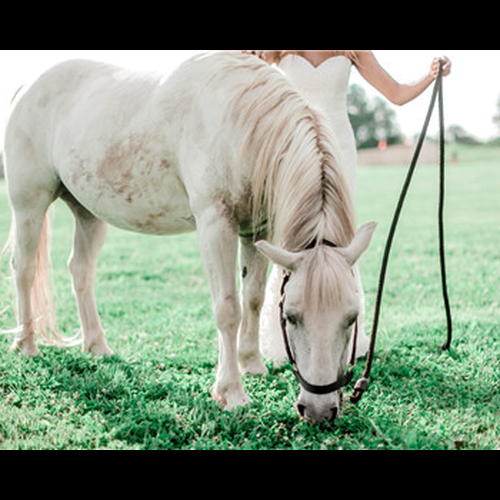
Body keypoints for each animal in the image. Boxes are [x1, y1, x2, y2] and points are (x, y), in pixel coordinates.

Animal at [2, 51, 376, 422]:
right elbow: (228, 308)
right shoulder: (215, 224)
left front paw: (251, 364)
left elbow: (253, 299)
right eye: (291, 317)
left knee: (80, 271)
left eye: (352, 317)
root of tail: (26, 87)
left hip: (88, 214)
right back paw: (27, 345)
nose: (319, 411)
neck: (241, 123)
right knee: (24, 269)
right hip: (30, 205)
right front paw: (232, 392)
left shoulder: (256, 231)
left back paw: (97, 346)